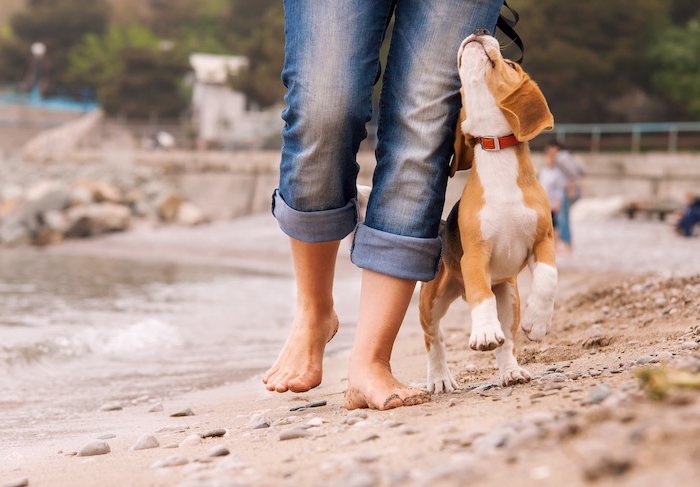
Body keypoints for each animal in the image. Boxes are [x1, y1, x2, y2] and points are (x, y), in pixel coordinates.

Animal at [422, 32, 556, 392]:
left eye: (509, 63)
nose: (480, 29)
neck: (497, 150)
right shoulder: (475, 255)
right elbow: (481, 297)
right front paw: (483, 332)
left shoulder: (544, 240)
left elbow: (548, 278)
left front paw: (539, 322)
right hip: (431, 300)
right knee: (433, 338)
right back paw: (439, 378)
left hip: (509, 295)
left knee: (507, 341)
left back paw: (511, 371)